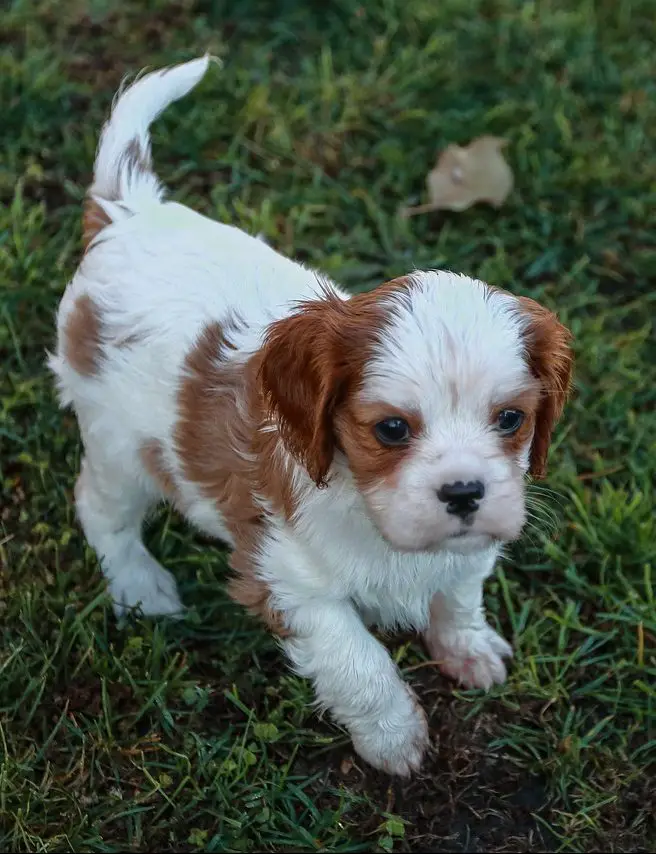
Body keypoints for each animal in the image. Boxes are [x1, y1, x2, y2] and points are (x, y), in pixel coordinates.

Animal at [51, 53, 572, 776]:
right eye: (391, 429)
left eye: (510, 420)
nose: (465, 491)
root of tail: (128, 211)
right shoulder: (288, 580)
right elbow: (358, 660)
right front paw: (394, 739)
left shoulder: (470, 547)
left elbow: (459, 594)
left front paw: (469, 649)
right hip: (118, 447)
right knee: (101, 511)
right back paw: (140, 586)